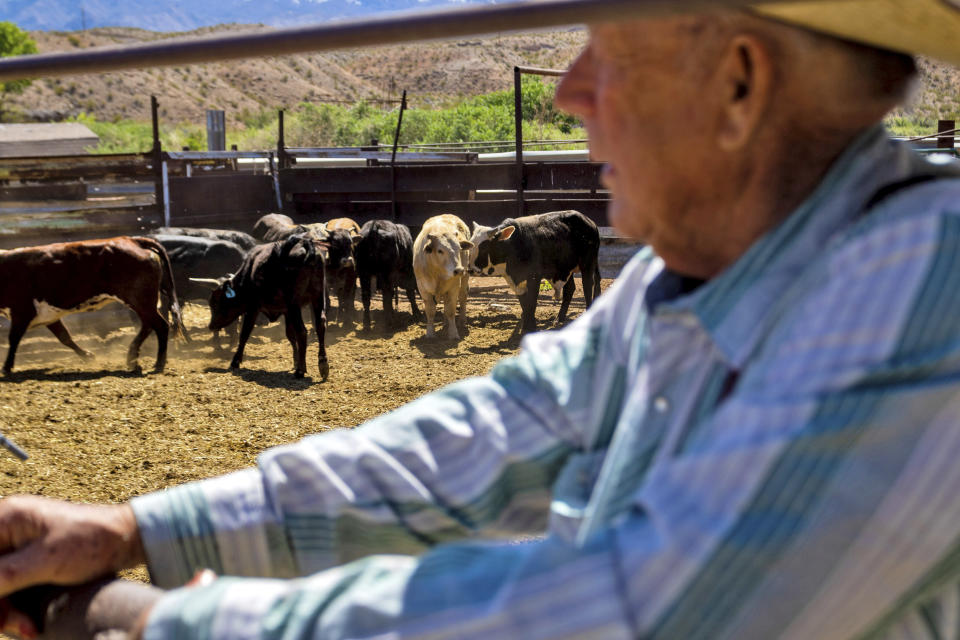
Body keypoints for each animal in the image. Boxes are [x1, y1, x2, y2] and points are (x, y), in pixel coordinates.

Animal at [0, 238, 186, 372]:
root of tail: (132, 240)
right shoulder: (49, 316)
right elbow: (65, 337)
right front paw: (88, 356)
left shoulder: (22, 312)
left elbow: (13, 338)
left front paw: (7, 367)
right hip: (142, 302)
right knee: (149, 325)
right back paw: (133, 358)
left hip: (141, 301)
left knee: (160, 325)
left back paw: (158, 363)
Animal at [204, 234, 328, 380]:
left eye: (216, 303)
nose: (211, 326)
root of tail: (304, 244)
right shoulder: (286, 312)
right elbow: (290, 335)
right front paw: (296, 360)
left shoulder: (253, 309)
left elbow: (244, 333)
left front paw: (235, 361)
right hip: (317, 297)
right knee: (320, 325)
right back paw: (323, 364)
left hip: (295, 304)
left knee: (302, 332)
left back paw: (301, 371)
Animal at [470, 212, 600, 338]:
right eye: (471, 244)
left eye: (484, 247)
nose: (470, 269)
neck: (513, 245)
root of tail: (590, 222)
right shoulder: (515, 281)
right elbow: (524, 303)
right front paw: (527, 326)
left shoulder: (534, 278)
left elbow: (531, 302)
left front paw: (531, 327)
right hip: (566, 268)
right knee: (570, 289)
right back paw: (559, 318)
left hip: (587, 265)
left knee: (588, 287)